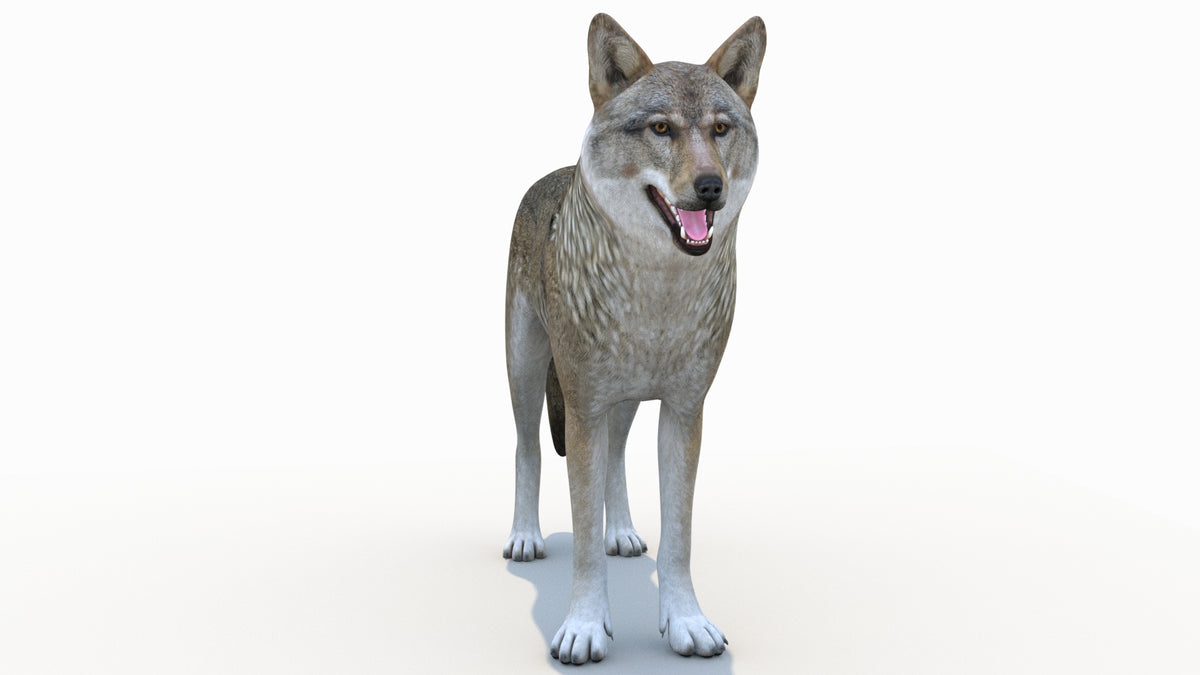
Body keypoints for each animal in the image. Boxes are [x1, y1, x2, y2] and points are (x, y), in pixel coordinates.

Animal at [503, 13, 766, 664]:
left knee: (617, 458)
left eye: (721, 129)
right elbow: (582, 539)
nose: (710, 186)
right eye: (661, 128)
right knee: (526, 448)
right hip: (527, 370)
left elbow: (679, 536)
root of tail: (552, 175)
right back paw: (524, 538)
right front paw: (584, 629)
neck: (658, 295)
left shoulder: (684, 410)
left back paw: (621, 531)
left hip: (620, 402)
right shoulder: (583, 405)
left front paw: (687, 623)